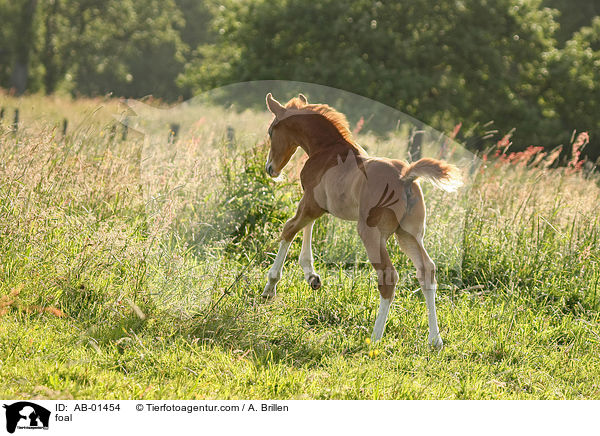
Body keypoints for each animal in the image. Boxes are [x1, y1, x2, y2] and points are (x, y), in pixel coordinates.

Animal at [260, 92, 462, 348]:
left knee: (388, 276)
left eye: (271, 131)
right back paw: (435, 340)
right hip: (409, 234)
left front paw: (270, 287)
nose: (270, 168)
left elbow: (289, 229)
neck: (328, 150)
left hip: (371, 233)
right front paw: (312, 276)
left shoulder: (311, 203)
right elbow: (306, 228)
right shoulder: (317, 206)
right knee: (426, 271)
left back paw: (375, 337)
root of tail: (405, 177)